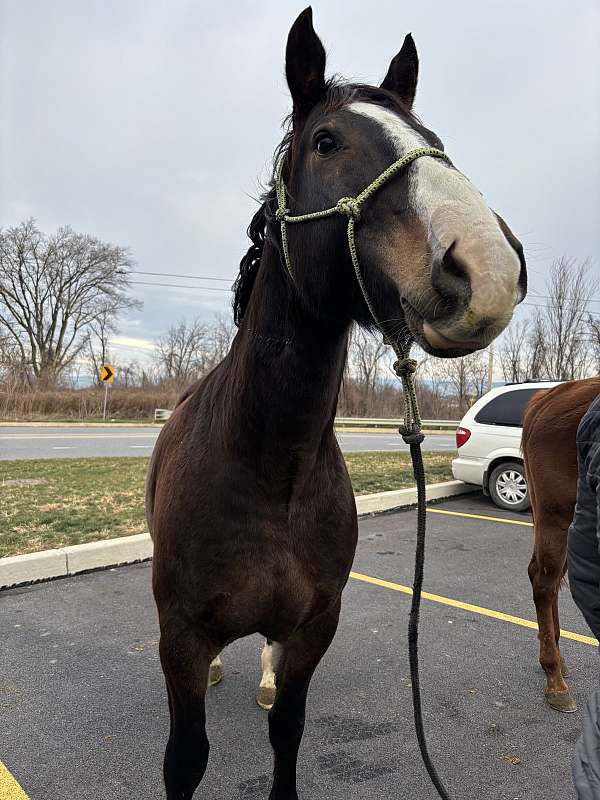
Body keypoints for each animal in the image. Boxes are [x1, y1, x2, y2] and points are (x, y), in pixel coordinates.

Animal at [146, 7, 524, 800]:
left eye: (436, 140)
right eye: (326, 141)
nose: (488, 266)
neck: (269, 466)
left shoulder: (316, 625)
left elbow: (287, 730)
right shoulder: (181, 638)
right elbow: (185, 757)